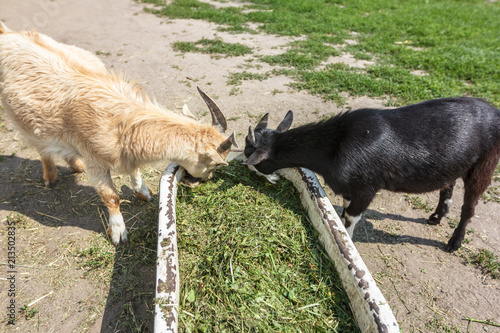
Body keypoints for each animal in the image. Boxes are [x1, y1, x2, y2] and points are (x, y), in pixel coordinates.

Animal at [0, 21, 237, 244]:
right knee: (40, 146)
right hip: (21, 121)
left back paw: (75, 165)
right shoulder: (94, 160)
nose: (203, 180)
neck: (121, 122)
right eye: (216, 164)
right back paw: (50, 177)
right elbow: (110, 196)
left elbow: (135, 172)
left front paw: (144, 194)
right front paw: (118, 232)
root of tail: (7, 33)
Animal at [242, 97, 500, 250]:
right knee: (448, 184)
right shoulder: (349, 188)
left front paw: (348, 241)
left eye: (253, 160)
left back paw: (454, 242)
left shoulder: (366, 187)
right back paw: (437, 216)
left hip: (485, 163)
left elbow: (351, 216)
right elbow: (345, 210)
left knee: (469, 206)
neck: (335, 145)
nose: (247, 167)